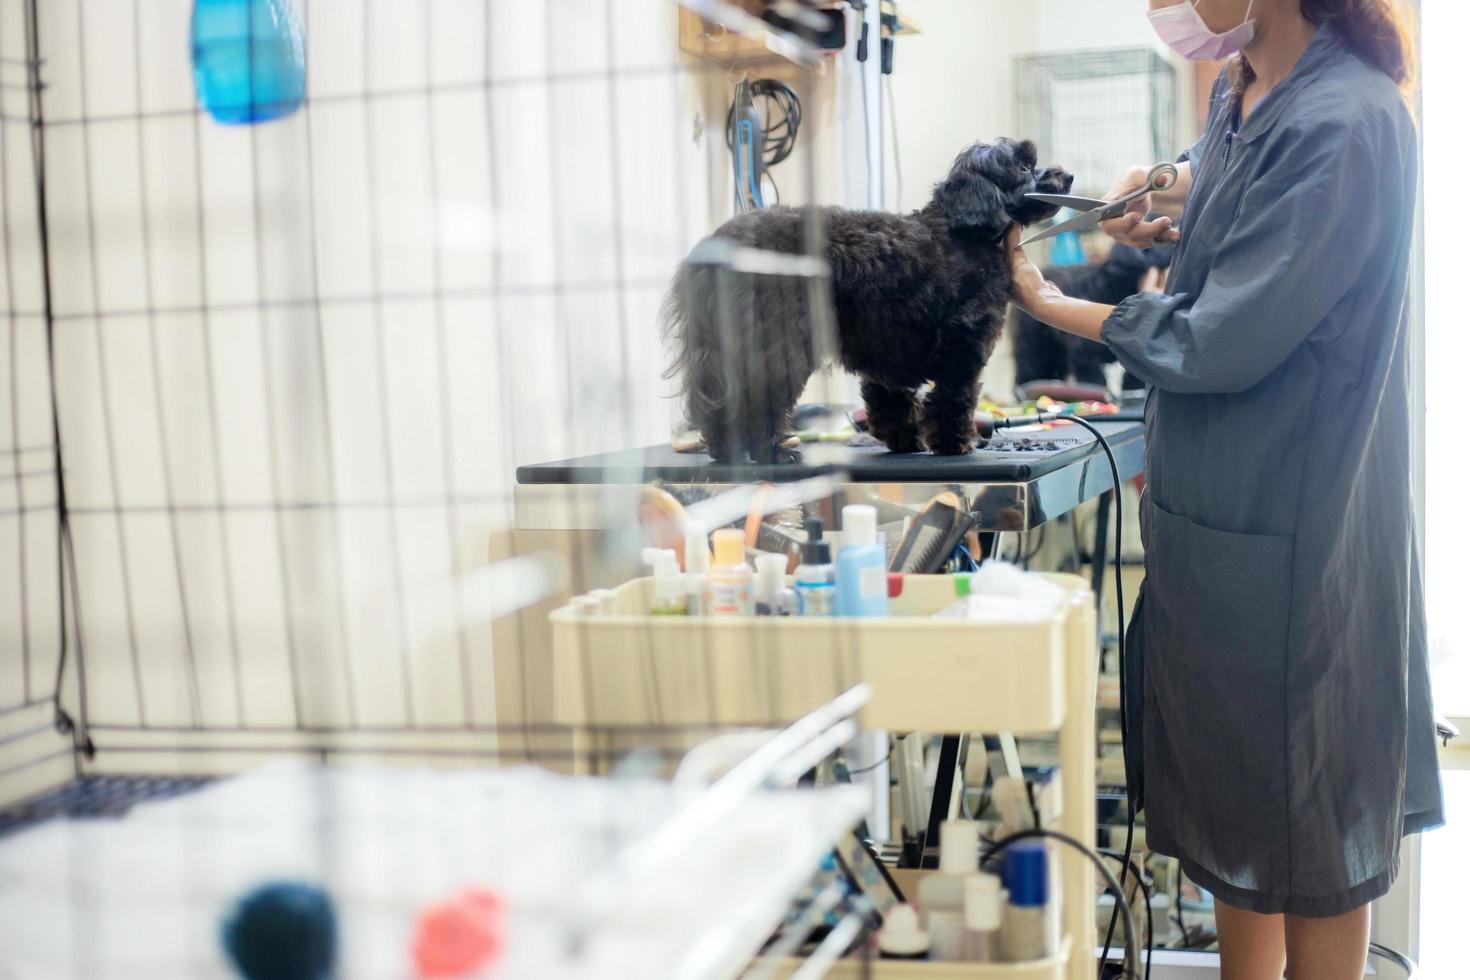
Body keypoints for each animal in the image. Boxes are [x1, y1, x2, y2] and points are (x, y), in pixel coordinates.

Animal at [664, 138, 1070, 464]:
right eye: (1023, 166)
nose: (1066, 176)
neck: (964, 229)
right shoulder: (963, 347)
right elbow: (953, 399)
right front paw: (953, 444)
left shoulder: (885, 349)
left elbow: (891, 402)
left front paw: (905, 442)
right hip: (773, 344)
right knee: (757, 401)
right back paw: (773, 452)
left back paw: (728, 451)